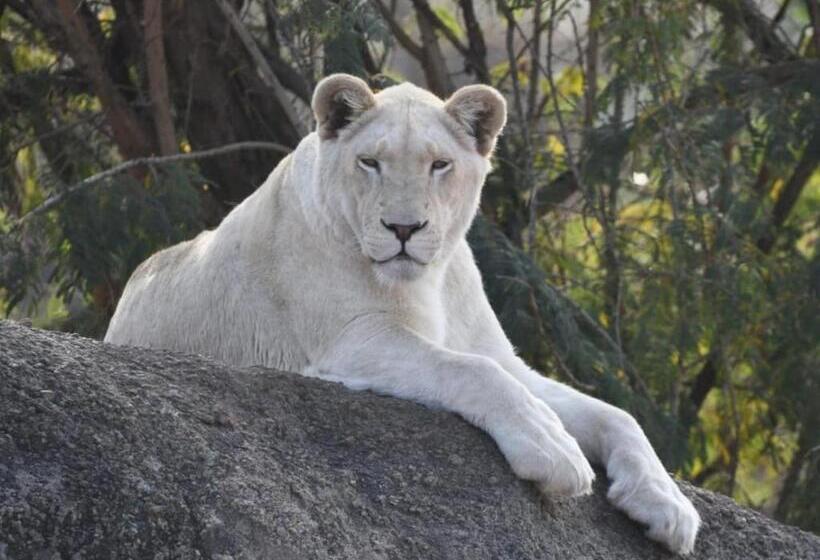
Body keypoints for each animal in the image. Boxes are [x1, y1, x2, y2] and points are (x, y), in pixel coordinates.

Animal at [105, 75, 700, 553]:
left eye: (440, 165)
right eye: (370, 162)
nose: (404, 229)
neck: (428, 282)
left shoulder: (508, 360)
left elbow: (614, 414)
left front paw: (668, 505)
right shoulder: (350, 341)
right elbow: (471, 372)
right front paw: (552, 449)